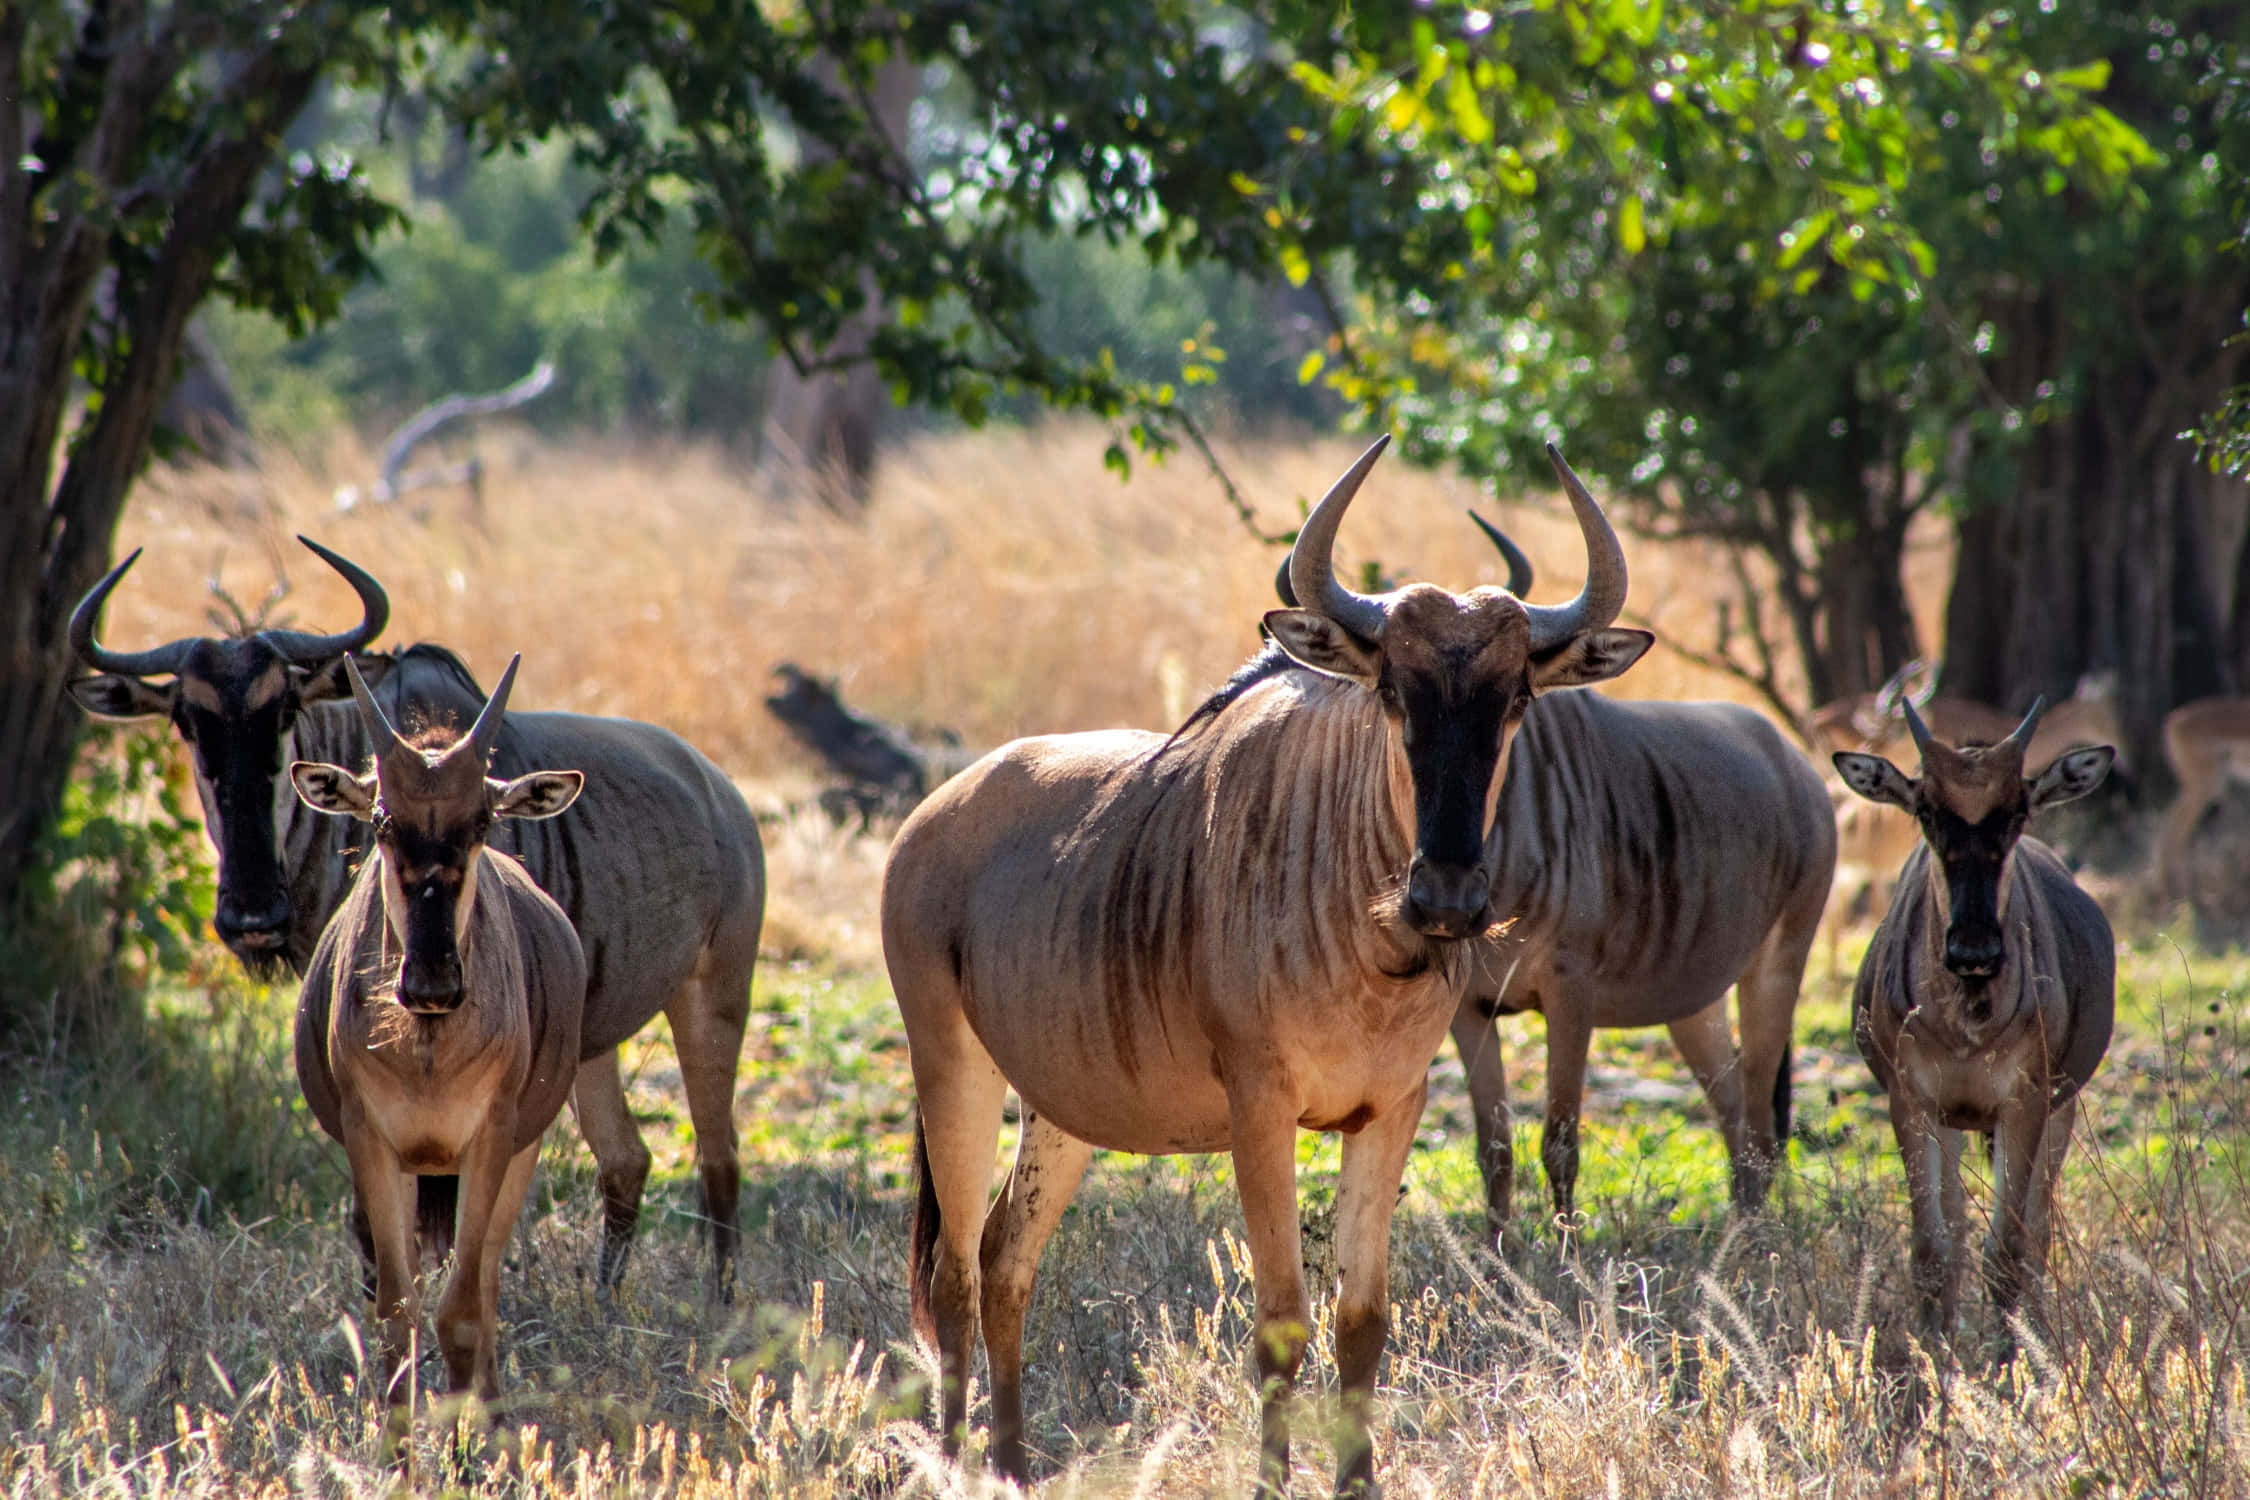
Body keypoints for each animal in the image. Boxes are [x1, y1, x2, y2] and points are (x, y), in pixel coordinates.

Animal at [68, 541, 765, 1302]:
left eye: (283, 711)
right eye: (187, 723)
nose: (252, 913)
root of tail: (721, 791)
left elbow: (445, 1215)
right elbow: (375, 1219)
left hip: (713, 999)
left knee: (718, 1157)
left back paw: (722, 1303)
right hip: (590, 1045)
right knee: (627, 1159)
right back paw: (606, 1302)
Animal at [292, 655, 586, 1402]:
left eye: (481, 818)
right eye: (382, 820)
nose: (431, 984)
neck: (427, 1053)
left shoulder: (494, 1140)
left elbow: (463, 1313)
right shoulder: (373, 1143)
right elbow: (398, 1312)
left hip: (514, 1157)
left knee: (485, 1289)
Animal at [884, 437, 1651, 1496]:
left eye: (1516, 698)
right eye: (1392, 690)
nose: (1447, 899)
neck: (1369, 945)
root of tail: (931, 818)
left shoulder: (1391, 1110)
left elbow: (1362, 1318)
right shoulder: (1261, 1110)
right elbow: (1283, 1319)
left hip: (1059, 1109)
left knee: (1006, 1257)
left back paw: (1011, 1464)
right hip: (952, 1069)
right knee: (954, 1271)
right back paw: (959, 1463)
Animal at [1834, 700, 2114, 1343]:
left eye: (2018, 810)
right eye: (1926, 810)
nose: (1974, 950)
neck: (1967, 1025)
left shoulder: (2025, 1104)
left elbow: (2007, 1250)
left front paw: (2012, 1360)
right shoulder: (1912, 1103)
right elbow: (1934, 1250)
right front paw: (1934, 1362)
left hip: (2059, 1112)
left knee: (2037, 1234)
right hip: (1954, 1124)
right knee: (1960, 1229)